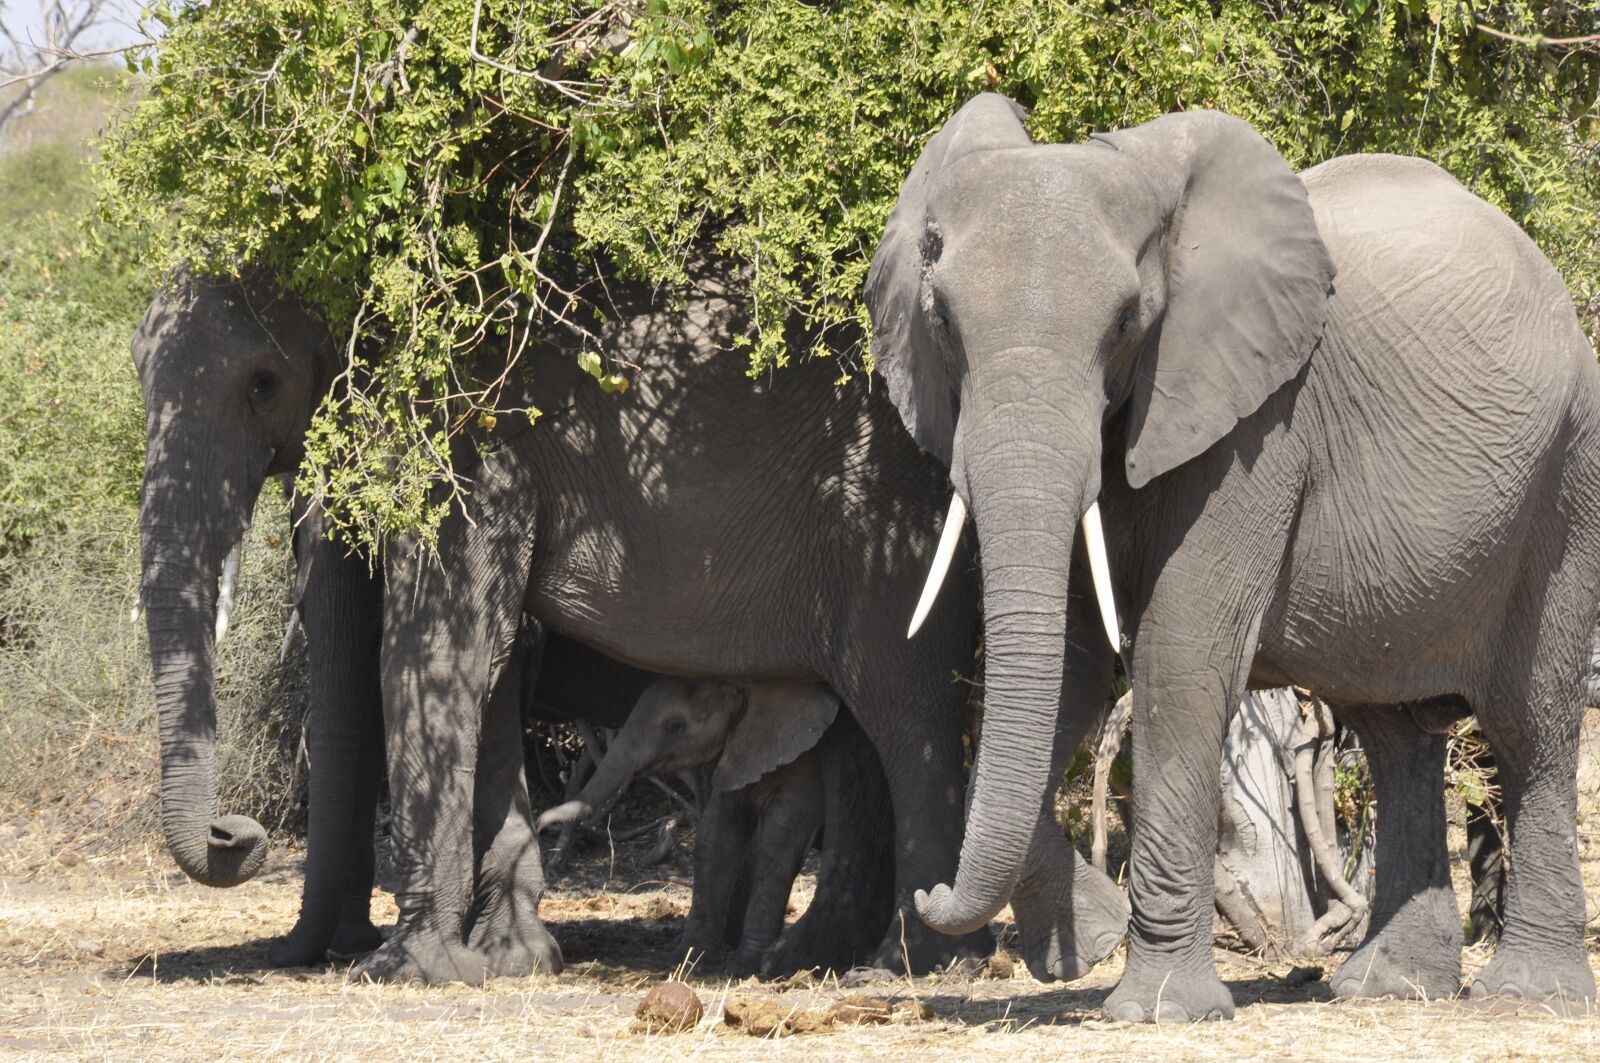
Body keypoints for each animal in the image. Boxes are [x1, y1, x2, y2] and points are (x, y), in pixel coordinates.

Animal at [535, 676, 895, 977]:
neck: (750, 691)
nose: (540, 824)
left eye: (675, 726)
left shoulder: (802, 765)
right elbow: (716, 836)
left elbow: (777, 843)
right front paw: (684, 959)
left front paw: (745, 967)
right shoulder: (734, 754)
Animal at [866, 93, 1600, 1020]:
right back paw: (1386, 987)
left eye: (1126, 323)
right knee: (1397, 732)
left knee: (1528, 722)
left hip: (1567, 480)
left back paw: (1528, 995)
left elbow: (1180, 655)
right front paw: (1088, 945)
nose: (928, 896)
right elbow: (1071, 664)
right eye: (942, 321)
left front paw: (1157, 1007)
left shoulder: (1258, 425)